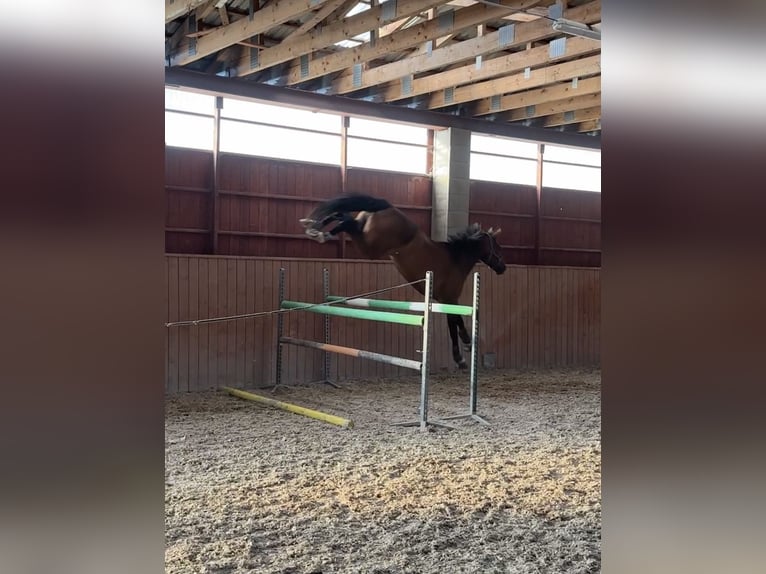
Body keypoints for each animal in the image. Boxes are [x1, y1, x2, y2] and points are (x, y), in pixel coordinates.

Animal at [302, 196, 510, 372]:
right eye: (498, 247)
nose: (503, 268)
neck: (456, 258)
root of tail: (386, 206)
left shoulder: (446, 300)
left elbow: (456, 321)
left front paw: (465, 345)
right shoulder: (449, 299)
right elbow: (455, 323)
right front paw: (462, 352)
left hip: (365, 237)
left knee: (342, 216)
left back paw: (315, 229)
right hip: (369, 246)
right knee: (346, 222)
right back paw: (318, 232)